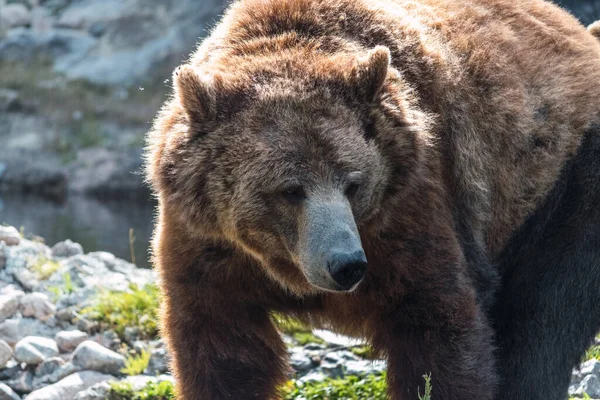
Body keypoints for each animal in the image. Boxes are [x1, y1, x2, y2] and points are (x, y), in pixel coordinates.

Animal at [144, 0, 600, 398]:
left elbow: (438, 324)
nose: (346, 264)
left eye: (353, 183)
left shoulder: (410, 204)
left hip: (564, 182)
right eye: (290, 190)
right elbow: (222, 344)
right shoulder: (206, 238)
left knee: (543, 315)